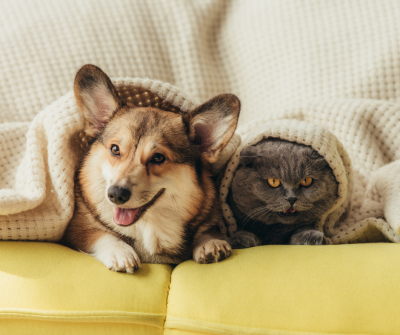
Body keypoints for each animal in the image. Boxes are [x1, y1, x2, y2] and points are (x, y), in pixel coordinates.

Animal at [61, 65, 239, 272]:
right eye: (115, 149)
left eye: (158, 158)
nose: (116, 195)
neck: (150, 225)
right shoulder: (76, 230)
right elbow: (101, 234)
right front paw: (120, 252)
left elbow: (208, 231)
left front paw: (210, 242)